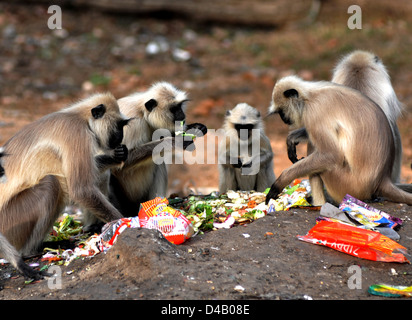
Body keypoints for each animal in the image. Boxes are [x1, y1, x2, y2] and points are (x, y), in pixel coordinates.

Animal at [0, 93, 129, 280]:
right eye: (119, 126)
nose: (121, 136)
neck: (81, 117)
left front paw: (116, 156)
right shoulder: (77, 133)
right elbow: (81, 189)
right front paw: (127, 224)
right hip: (11, 221)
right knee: (51, 184)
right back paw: (30, 252)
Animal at [266, 75, 412, 206]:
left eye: (281, 111)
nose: (283, 119)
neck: (309, 96)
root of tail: (383, 179)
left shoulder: (315, 113)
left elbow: (331, 155)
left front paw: (280, 182)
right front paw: (292, 138)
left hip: (348, 185)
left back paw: (319, 204)